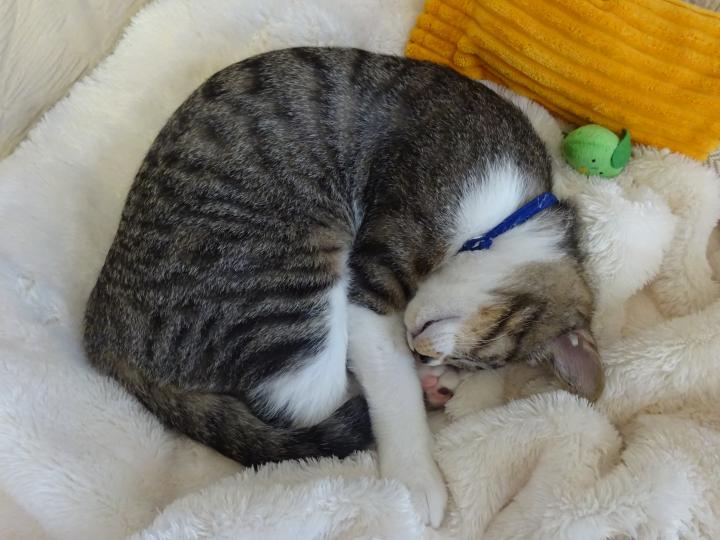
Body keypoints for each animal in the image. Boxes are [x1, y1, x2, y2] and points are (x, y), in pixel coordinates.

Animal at [83, 47, 603, 527]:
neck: (508, 210)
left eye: (471, 361)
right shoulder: (378, 268)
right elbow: (387, 376)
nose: (423, 350)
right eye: (487, 345)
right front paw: (417, 475)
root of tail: (103, 333)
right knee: (307, 401)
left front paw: (430, 376)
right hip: (286, 286)